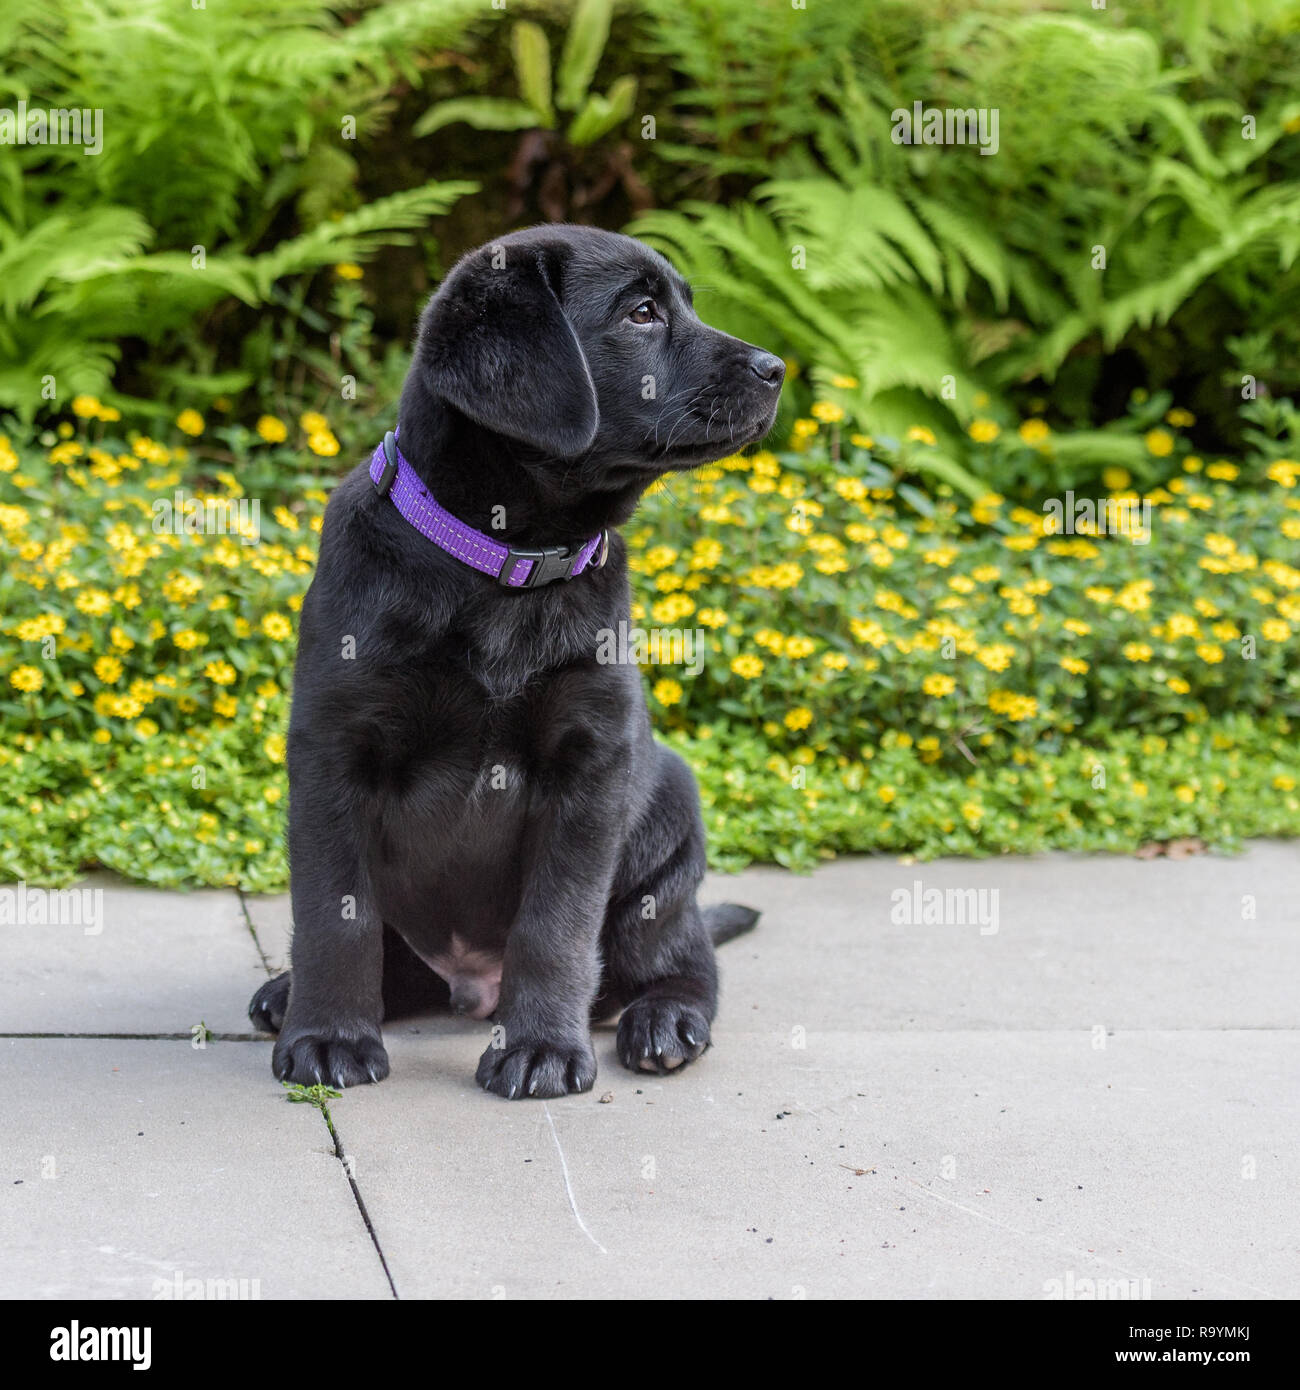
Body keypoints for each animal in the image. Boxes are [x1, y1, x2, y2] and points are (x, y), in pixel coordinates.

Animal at [250, 225, 789, 1095]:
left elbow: (556, 925)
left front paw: (540, 1047)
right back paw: (287, 993)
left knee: (684, 964)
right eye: (642, 313)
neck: (507, 561)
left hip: (667, 830)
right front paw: (328, 1034)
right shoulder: (334, 748)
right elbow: (335, 914)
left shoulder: (591, 762)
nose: (777, 368)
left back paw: (664, 1020)